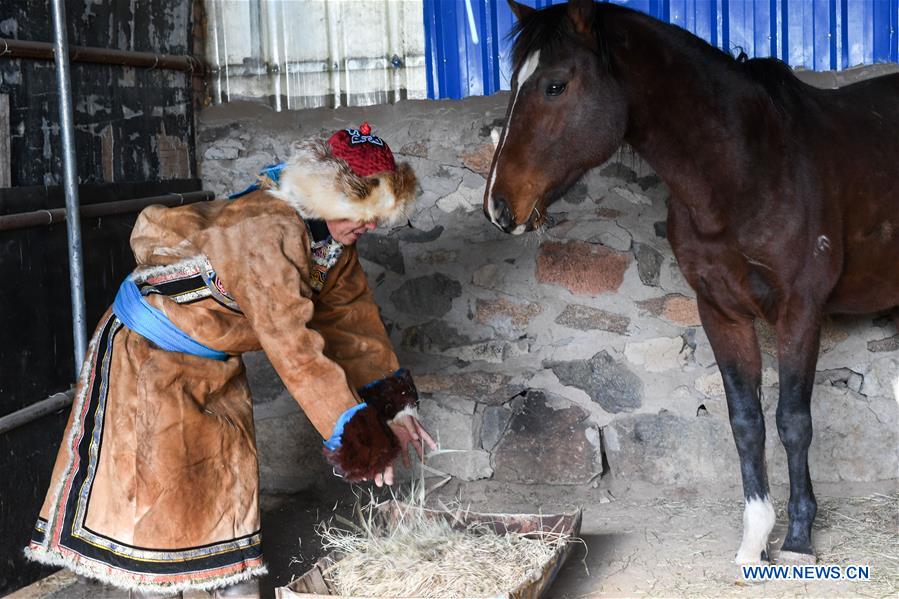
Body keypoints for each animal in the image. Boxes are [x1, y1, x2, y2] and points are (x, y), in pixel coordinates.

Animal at [484, 0, 899, 564]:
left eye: (554, 85)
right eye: (512, 83)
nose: (499, 206)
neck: (751, 169)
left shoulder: (800, 311)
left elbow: (793, 421)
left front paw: (797, 540)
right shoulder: (721, 311)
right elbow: (746, 423)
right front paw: (754, 540)